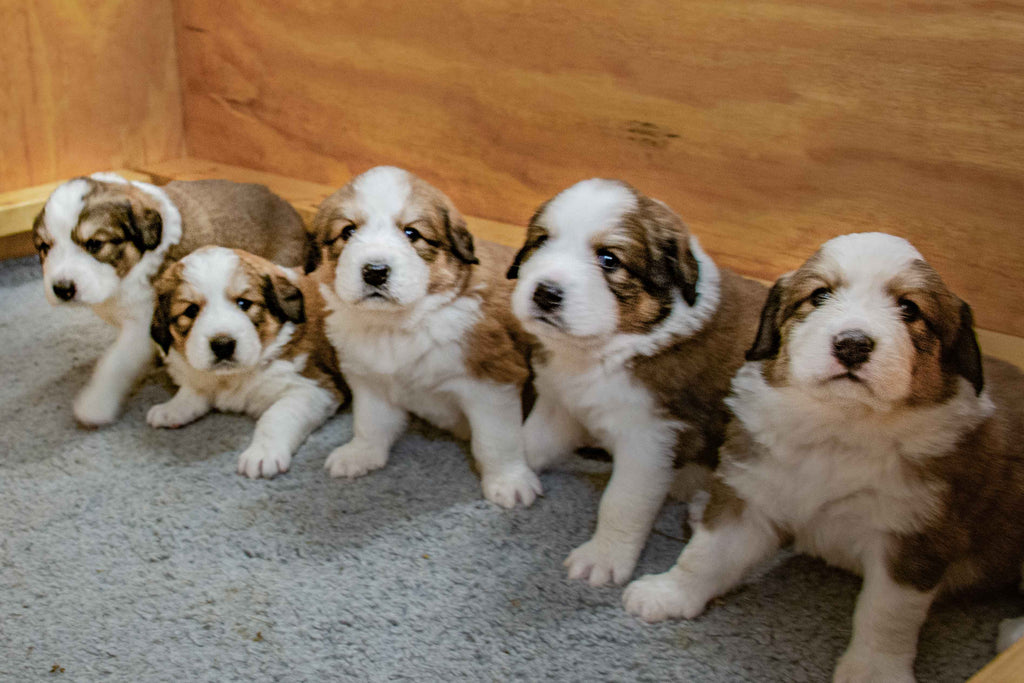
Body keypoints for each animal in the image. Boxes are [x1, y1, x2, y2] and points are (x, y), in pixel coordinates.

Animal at [29, 174, 303, 423]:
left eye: (95, 244)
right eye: (44, 247)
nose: (62, 289)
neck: (131, 270)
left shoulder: (143, 325)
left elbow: (114, 362)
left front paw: (95, 404)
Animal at [147, 246, 348, 481]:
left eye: (244, 303)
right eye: (191, 311)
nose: (223, 345)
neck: (233, 376)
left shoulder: (313, 387)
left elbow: (276, 416)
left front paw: (263, 454)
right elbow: (194, 390)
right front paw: (172, 408)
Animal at [305, 165, 540, 507]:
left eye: (411, 233)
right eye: (347, 232)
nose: (375, 271)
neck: (400, 324)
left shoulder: (492, 384)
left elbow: (497, 440)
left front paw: (509, 481)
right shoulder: (370, 378)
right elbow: (370, 421)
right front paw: (361, 454)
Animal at [507, 179, 765, 585]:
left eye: (609, 259)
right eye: (541, 241)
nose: (545, 293)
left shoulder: (651, 440)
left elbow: (622, 503)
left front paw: (603, 558)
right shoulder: (562, 404)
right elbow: (531, 439)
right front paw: (513, 476)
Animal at [618, 233, 1024, 683]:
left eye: (909, 308)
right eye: (820, 295)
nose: (852, 344)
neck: (839, 425)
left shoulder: (914, 538)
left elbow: (886, 615)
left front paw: (873, 671)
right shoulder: (754, 493)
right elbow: (707, 554)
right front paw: (668, 593)